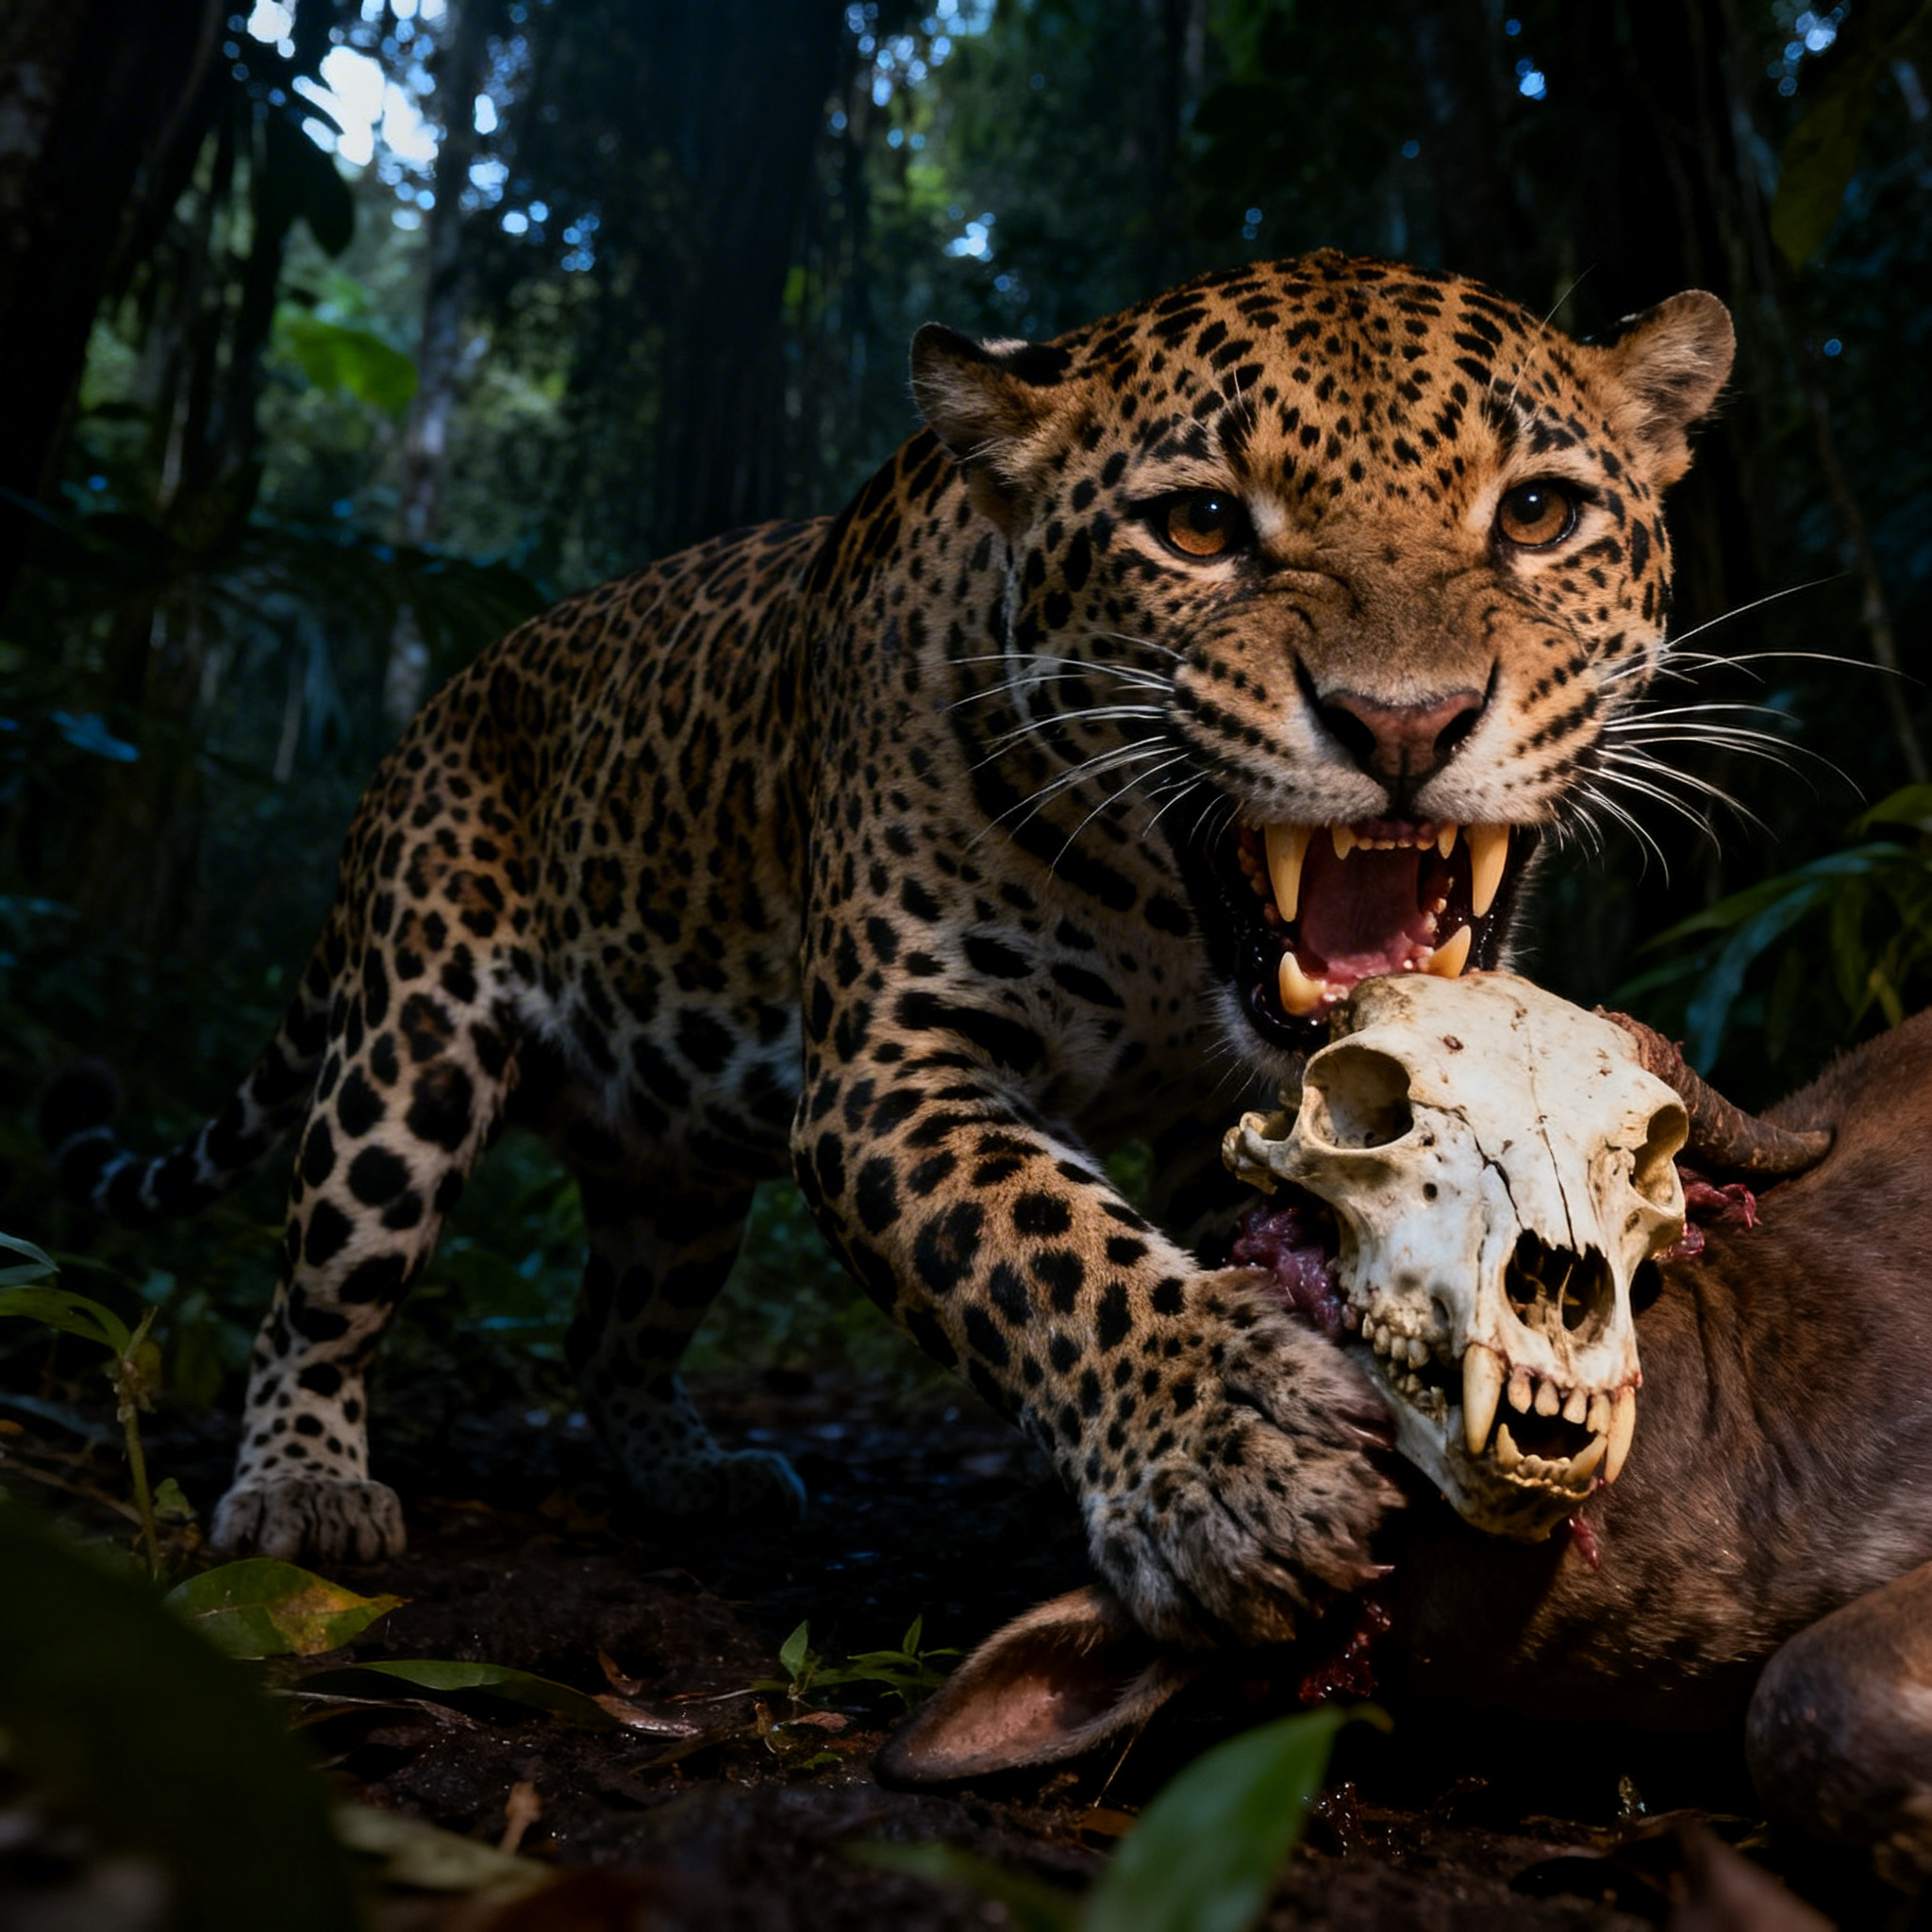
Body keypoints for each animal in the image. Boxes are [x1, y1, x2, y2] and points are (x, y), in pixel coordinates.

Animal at [45, 252, 1735, 1648]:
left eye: (1538, 514)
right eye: (1198, 525)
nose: (1404, 724)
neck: (1162, 927)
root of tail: (445, 697)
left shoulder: (1241, 1114)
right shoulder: (889, 1075)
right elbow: (1048, 1253)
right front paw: (1233, 1463)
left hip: (674, 1174)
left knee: (610, 1329)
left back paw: (695, 1474)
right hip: (407, 1057)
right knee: (321, 1284)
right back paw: (299, 1485)